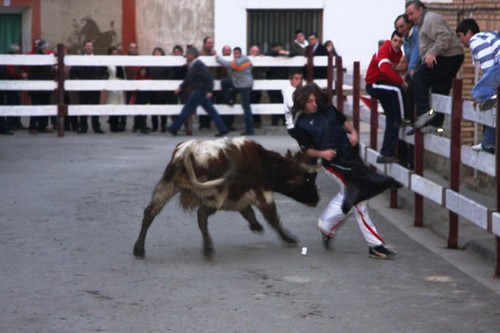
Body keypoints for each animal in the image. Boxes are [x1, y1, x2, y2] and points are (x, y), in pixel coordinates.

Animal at [133, 136, 320, 258]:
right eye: (307, 179)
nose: (316, 200)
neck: (265, 163)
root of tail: (187, 151)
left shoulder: (240, 196)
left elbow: (248, 212)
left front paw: (256, 226)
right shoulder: (263, 193)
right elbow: (272, 218)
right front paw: (289, 238)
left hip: (166, 186)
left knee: (150, 212)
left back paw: (139, 249)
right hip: (214, 193)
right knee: (201, 215)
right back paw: (208, 248)